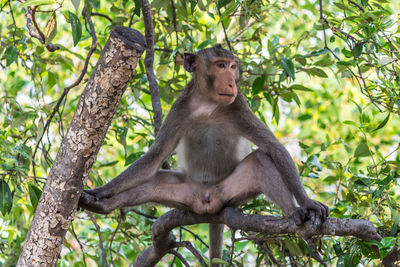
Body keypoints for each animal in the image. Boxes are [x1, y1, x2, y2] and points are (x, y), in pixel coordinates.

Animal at [78, 45, 328, 266]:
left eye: (232, 66)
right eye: (220, 65)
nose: (231, 81)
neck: (207, 105)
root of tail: (207, 198)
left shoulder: (238, 105)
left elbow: (274, 148)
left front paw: (307, 203)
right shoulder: (180, 108)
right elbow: (155, 157)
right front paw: (101, 192)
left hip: (229, 192)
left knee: (260, 162)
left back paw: (295, 213)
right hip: (187, 194)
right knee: (152, 181)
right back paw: (104, 206)